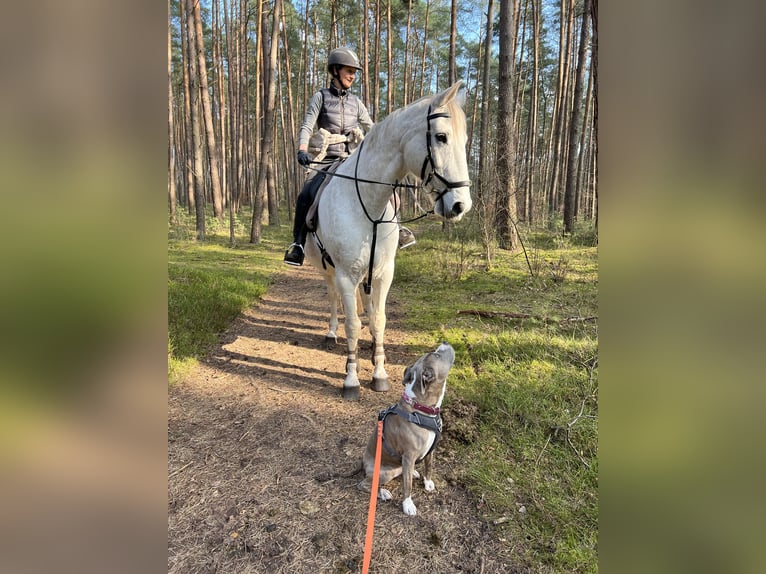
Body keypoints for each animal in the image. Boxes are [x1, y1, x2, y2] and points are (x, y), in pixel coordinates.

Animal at [306, 82, 474, 400]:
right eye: (441, 137)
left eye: (465, 140)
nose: (461, 205)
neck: (367, 204)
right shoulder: (345, 274)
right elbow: (353, 324)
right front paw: (351, 378)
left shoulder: (383, 272)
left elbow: (379, 319)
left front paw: (379, 372)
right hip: (326, 269)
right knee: (333, 298)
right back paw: (331, 333)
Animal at [360, 342, 456, 516]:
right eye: (436, 355)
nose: (445, 342)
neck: (421, 407)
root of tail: (364, 464)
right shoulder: (409, 456)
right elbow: (407, 486)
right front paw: (407, 504)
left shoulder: (430, 450)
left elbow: (428, 466)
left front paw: (428, 482)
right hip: (384, 473)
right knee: (365, 484)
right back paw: (383, 493)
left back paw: (414, 472)